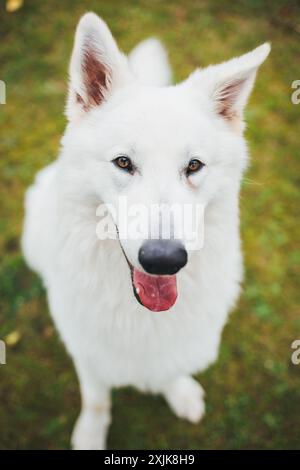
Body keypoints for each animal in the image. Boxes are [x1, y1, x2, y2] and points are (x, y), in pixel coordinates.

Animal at [21, 12, 270, 450]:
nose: (164, 260)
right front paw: (90, 435)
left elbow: (169, 366)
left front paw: (179, 391)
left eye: (193, 166)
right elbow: (97, 399)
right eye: (123, 162)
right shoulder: (88, 352)